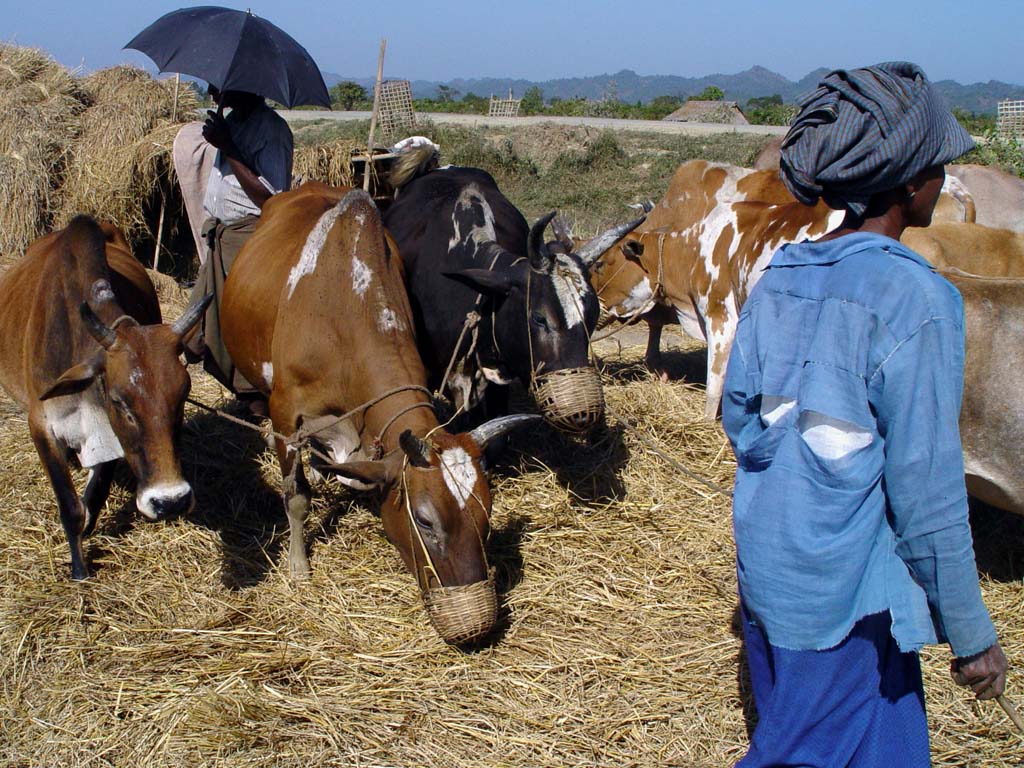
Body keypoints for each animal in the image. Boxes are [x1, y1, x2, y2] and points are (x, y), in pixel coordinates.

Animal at [0, 215, 208, 577]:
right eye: (119, 401)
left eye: (183, 395)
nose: (171, 501)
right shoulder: (41, 425)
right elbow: (70, 506)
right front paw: (79, 570)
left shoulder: (108, 439)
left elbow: (94, 496)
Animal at [218, 185, 536, 643]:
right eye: (424, 520)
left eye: (486, 510)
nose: (474, 623)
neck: (340, 311)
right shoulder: (285, 414)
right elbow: (296, 497)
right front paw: (298, 566)